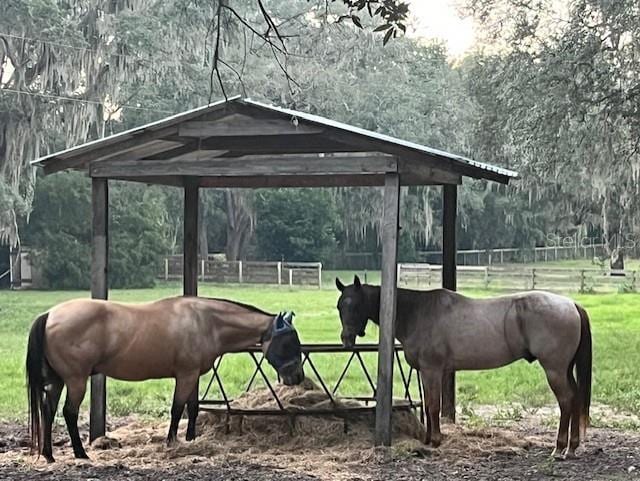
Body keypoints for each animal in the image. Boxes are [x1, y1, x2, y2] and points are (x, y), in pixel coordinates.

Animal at [26, 294, 304, 464]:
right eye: (288, 342)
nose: (297, 376)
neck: (206, 322)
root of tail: (49, 315)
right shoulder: (186, 374)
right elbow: (177, 408)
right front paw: (172, 442)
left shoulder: (193, 376)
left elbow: (192, 407)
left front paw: (191, 439)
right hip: (76, 380)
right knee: (68, 412)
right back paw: (80, 453)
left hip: (58, 381)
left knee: (48, 411)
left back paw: (49, 455)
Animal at [338, 274, 592, 458]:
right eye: (340, 306)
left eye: (356, 305)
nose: (346, 339)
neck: (419, 312)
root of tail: (571, 304)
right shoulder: (428, 373)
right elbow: (429, 405)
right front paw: (428, 439)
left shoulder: (432, 370)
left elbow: (433, 406)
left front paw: (436, 441)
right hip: (564, 370)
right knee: (575, 398)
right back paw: (572, 447)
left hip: (554, 370)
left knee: (566, 401)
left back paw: (559, 448)